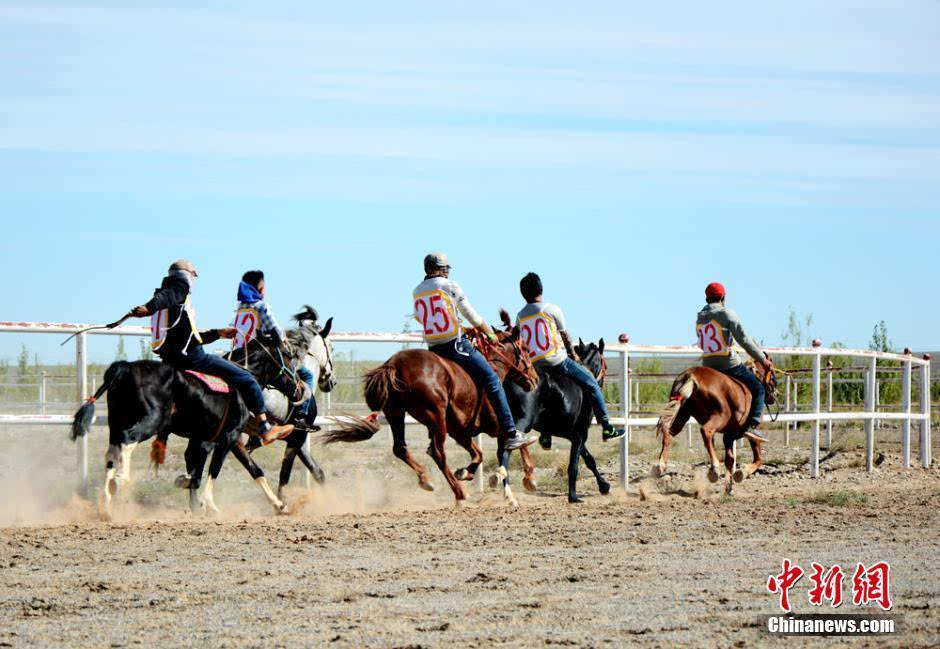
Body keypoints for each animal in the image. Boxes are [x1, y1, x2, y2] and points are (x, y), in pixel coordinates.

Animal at [324, 326, 540, 504]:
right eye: (526, 349)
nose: (535, 378)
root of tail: (394, 365)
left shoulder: (461, 432)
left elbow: (479, 454)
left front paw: (465, 473)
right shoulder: (497, 424)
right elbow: (516, 444)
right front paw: (526, 482)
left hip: (396, 414)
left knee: (400, 448)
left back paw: (426, 479)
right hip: (436, 417)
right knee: (437, 452)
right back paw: (460, 493)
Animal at [504, 322, 612, 502]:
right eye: (605, 364)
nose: (602, 384)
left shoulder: (572, 434)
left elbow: (588, 459)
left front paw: (604, 486)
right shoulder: (581, 433)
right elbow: (574, 464)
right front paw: (573, 496)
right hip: (523, 421)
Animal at [652, 360, 780, 496]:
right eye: (773, 377)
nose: (776, 394)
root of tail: (691, 375)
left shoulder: (728, 436)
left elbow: (730, 460)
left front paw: (729, 488)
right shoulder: (740, 433)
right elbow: (758, 459)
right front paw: (741, 474)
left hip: (682, 414)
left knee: (668, 433)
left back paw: (661, 465)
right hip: (719, 416)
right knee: (706, 431)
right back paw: (714, 468)